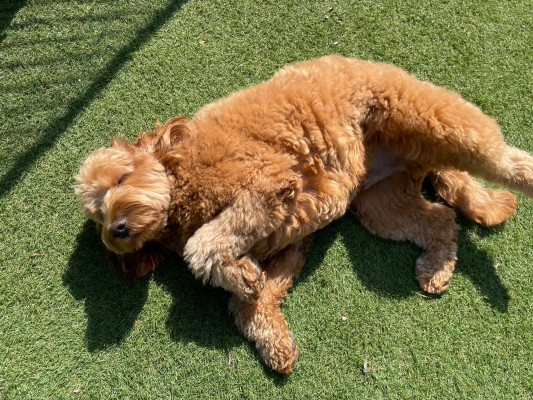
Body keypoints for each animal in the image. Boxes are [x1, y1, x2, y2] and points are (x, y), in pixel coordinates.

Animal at [76, 55, 532, 376]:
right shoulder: (288, 244)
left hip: (431, 117)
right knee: (440, 219)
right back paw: (436, 266)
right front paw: (270, 335)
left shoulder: (270, 180)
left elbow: (202, 244)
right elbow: (251, 302)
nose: (117, 229)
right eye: (97, 214)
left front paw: (224, 269)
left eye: (121, 179)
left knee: (504, 158)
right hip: (381, 205)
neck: (183, 179)